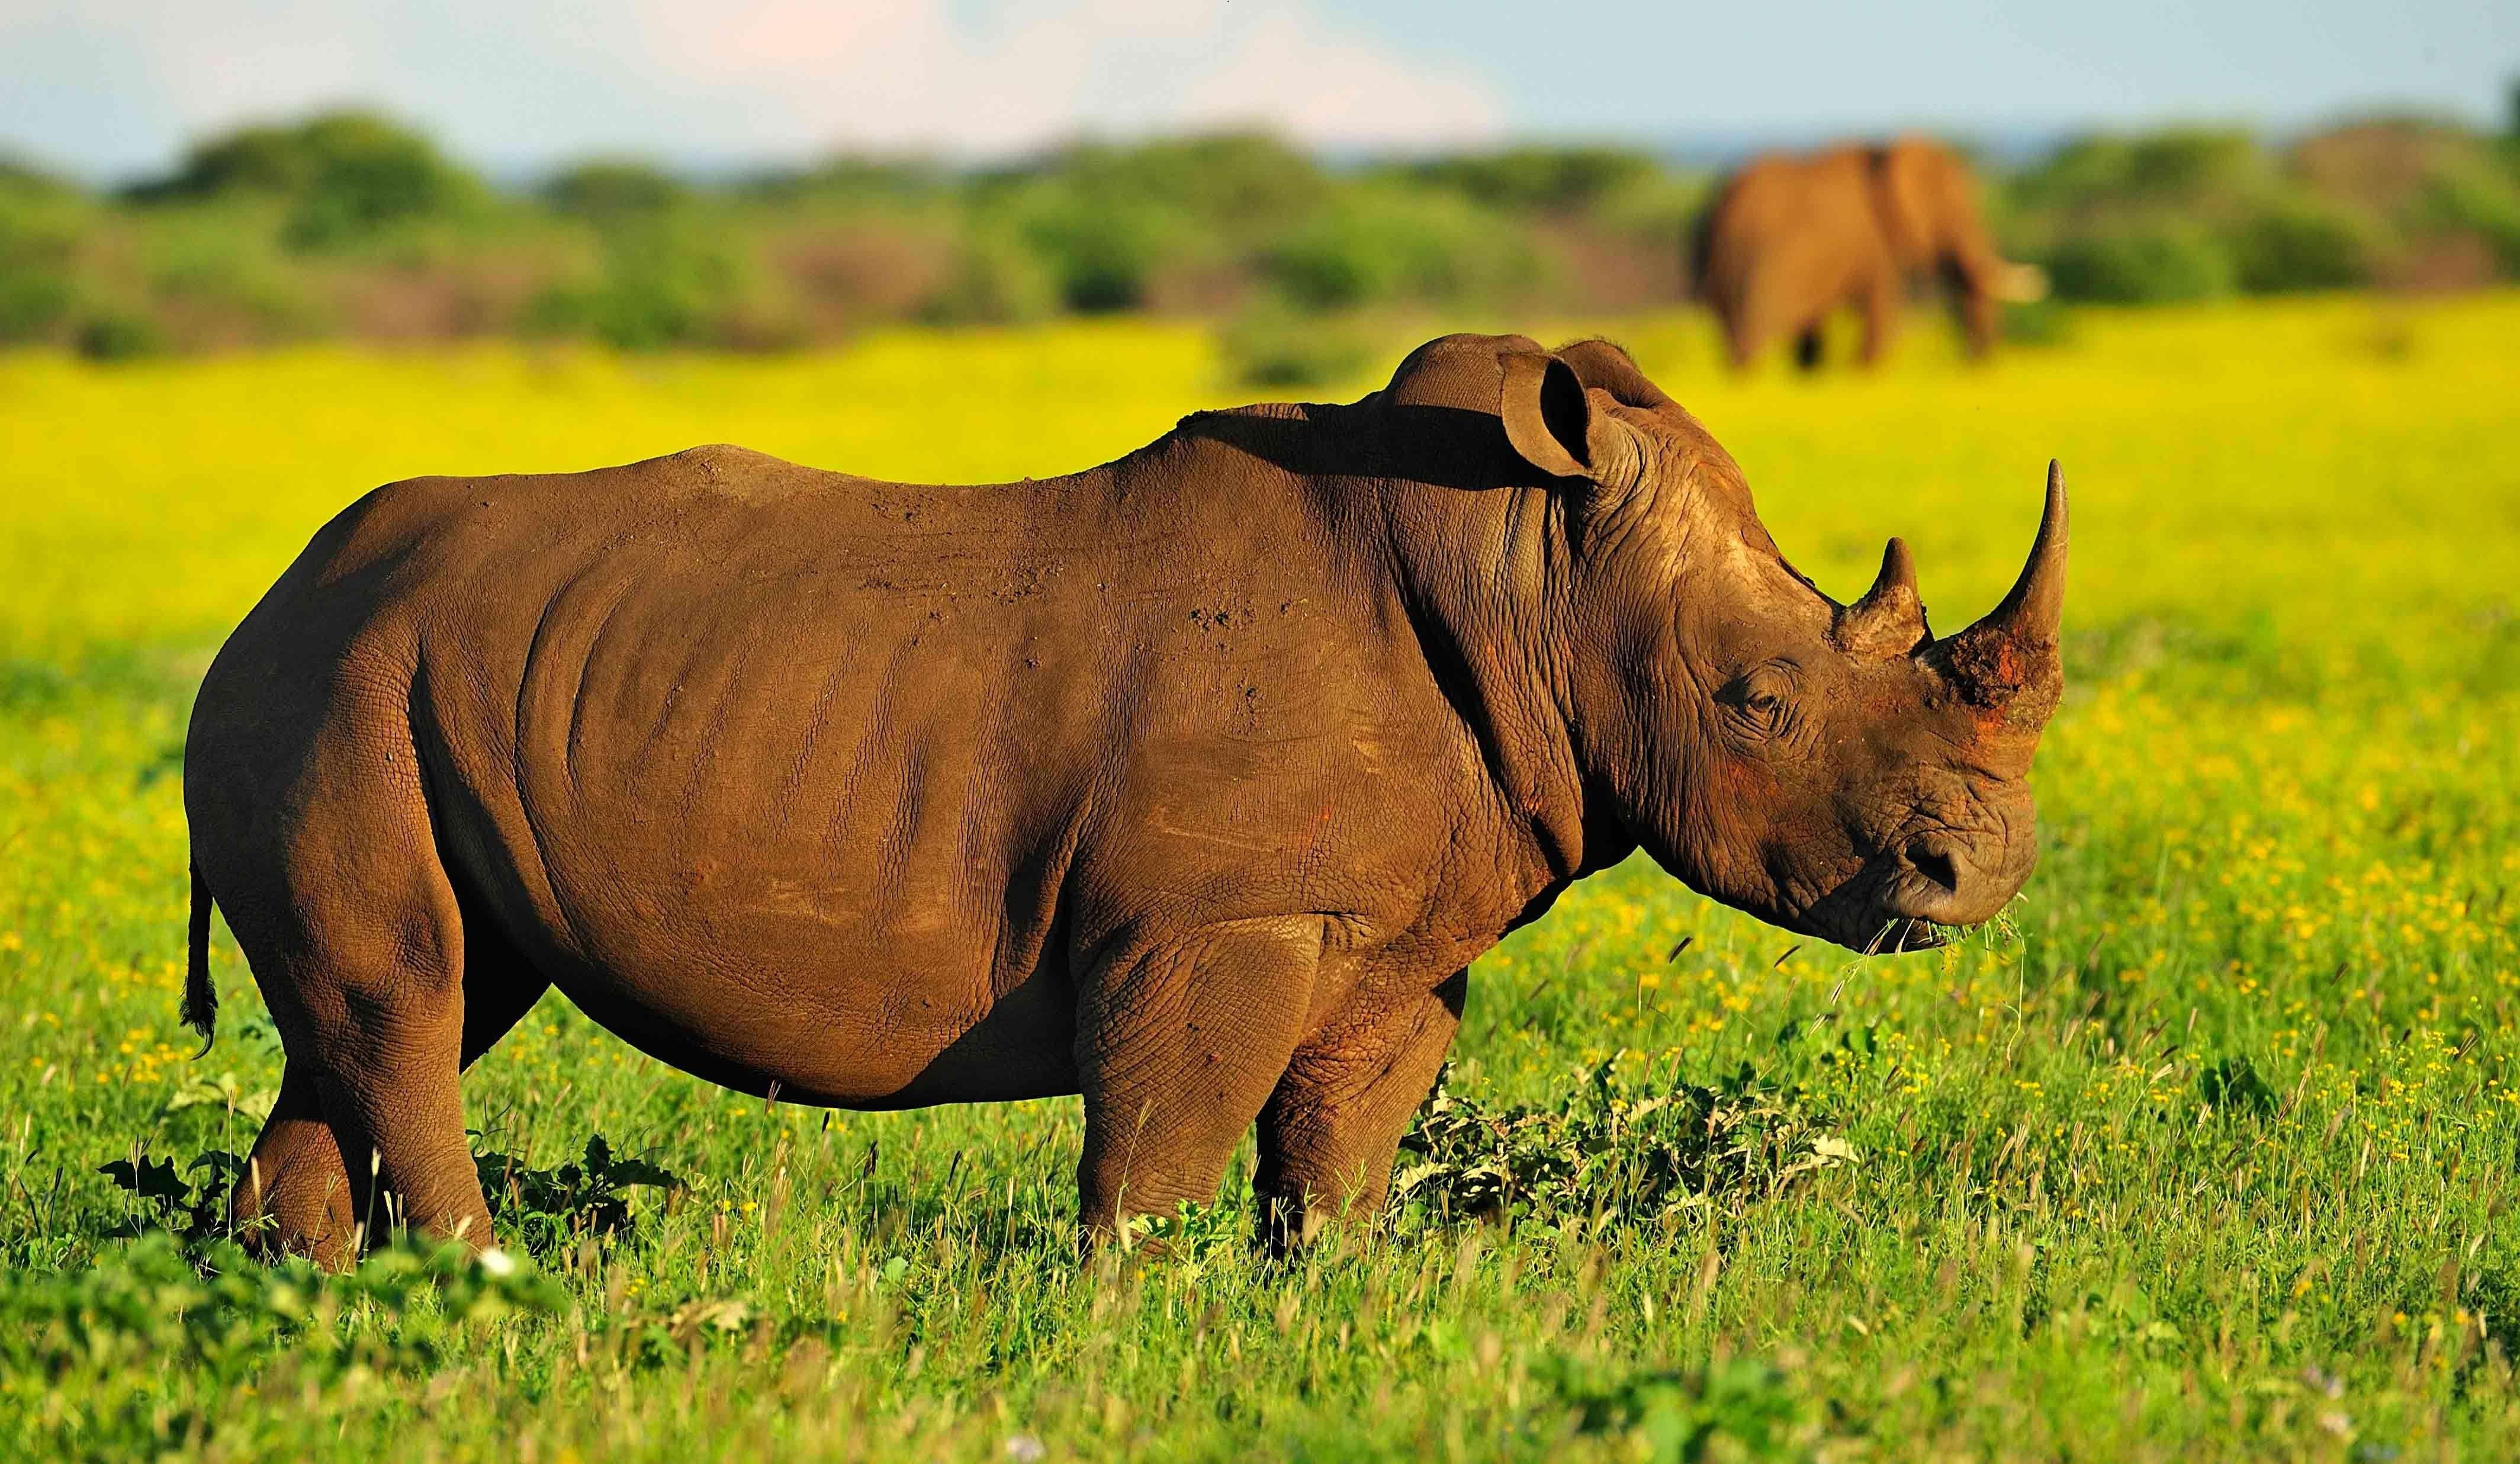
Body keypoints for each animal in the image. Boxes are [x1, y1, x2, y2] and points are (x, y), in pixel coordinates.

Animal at [181, 333, 2066, 1262]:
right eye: (1761, 705)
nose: (1978, 870)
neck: (1529, 566)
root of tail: (270, 594)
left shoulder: (1390, 930)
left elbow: (1337, 1151)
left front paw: (1323, 1318)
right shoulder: (1215, 917)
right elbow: (1160, 1149)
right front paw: (1123, 1332)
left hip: (375, 678)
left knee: (397, 1008)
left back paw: (324, 1306)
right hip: (327, 690)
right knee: (413, 998)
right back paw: (481, 1289)